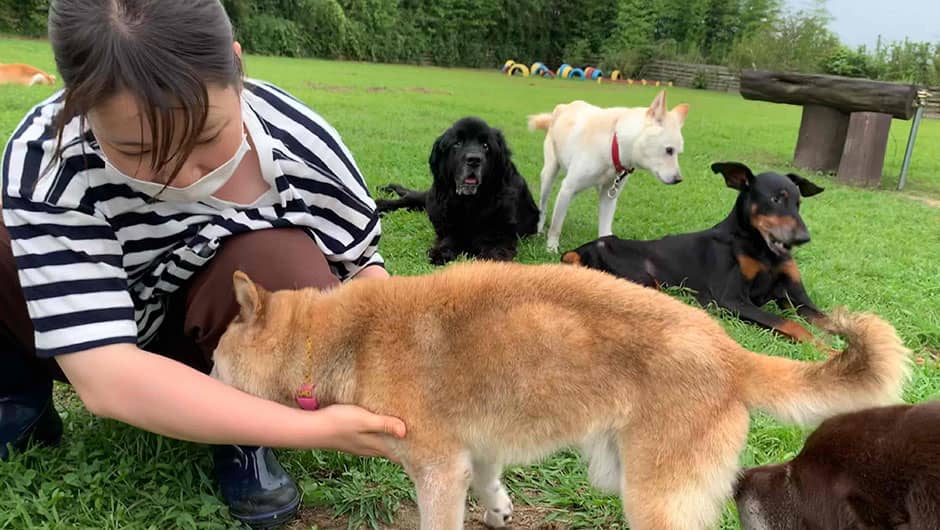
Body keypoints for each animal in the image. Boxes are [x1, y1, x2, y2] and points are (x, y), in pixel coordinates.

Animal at [211, 260, 912, 528]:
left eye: (213, 364)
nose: (204, 381)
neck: (340, 339)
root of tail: (728, 352)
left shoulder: (435, 471)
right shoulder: (473, 449)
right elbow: (489, 479)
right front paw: (497, 508)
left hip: (654, 498)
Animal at [372, 116, 536, 264]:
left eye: (485, 145)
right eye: (457, 143)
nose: (474, 160)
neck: (470, 202)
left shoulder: (501, 233)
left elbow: (495, 251)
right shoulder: (448, 222)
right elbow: (450, 237)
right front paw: (440, 252)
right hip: (433, 198)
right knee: (408, 198)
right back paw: (380, 204)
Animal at [528, 91, 692, 252]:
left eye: (679, 153)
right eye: (669, 150)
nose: (678, 179)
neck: (614, 143)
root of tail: (562, 107)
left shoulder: (608, 196)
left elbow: (605, 231)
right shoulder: (568, 187)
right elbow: (556, 226)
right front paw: (551, 248)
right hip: (550, 174)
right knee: (543, 206)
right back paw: (539, 228)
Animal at [560, 161, 828, 342]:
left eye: (798, 203)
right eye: (775, 199)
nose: (804, 238)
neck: (762, 248)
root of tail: (580, 250)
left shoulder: (797, 298)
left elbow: (830, 319)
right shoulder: (731, 299)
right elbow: (791, 325)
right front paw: (824, 349)